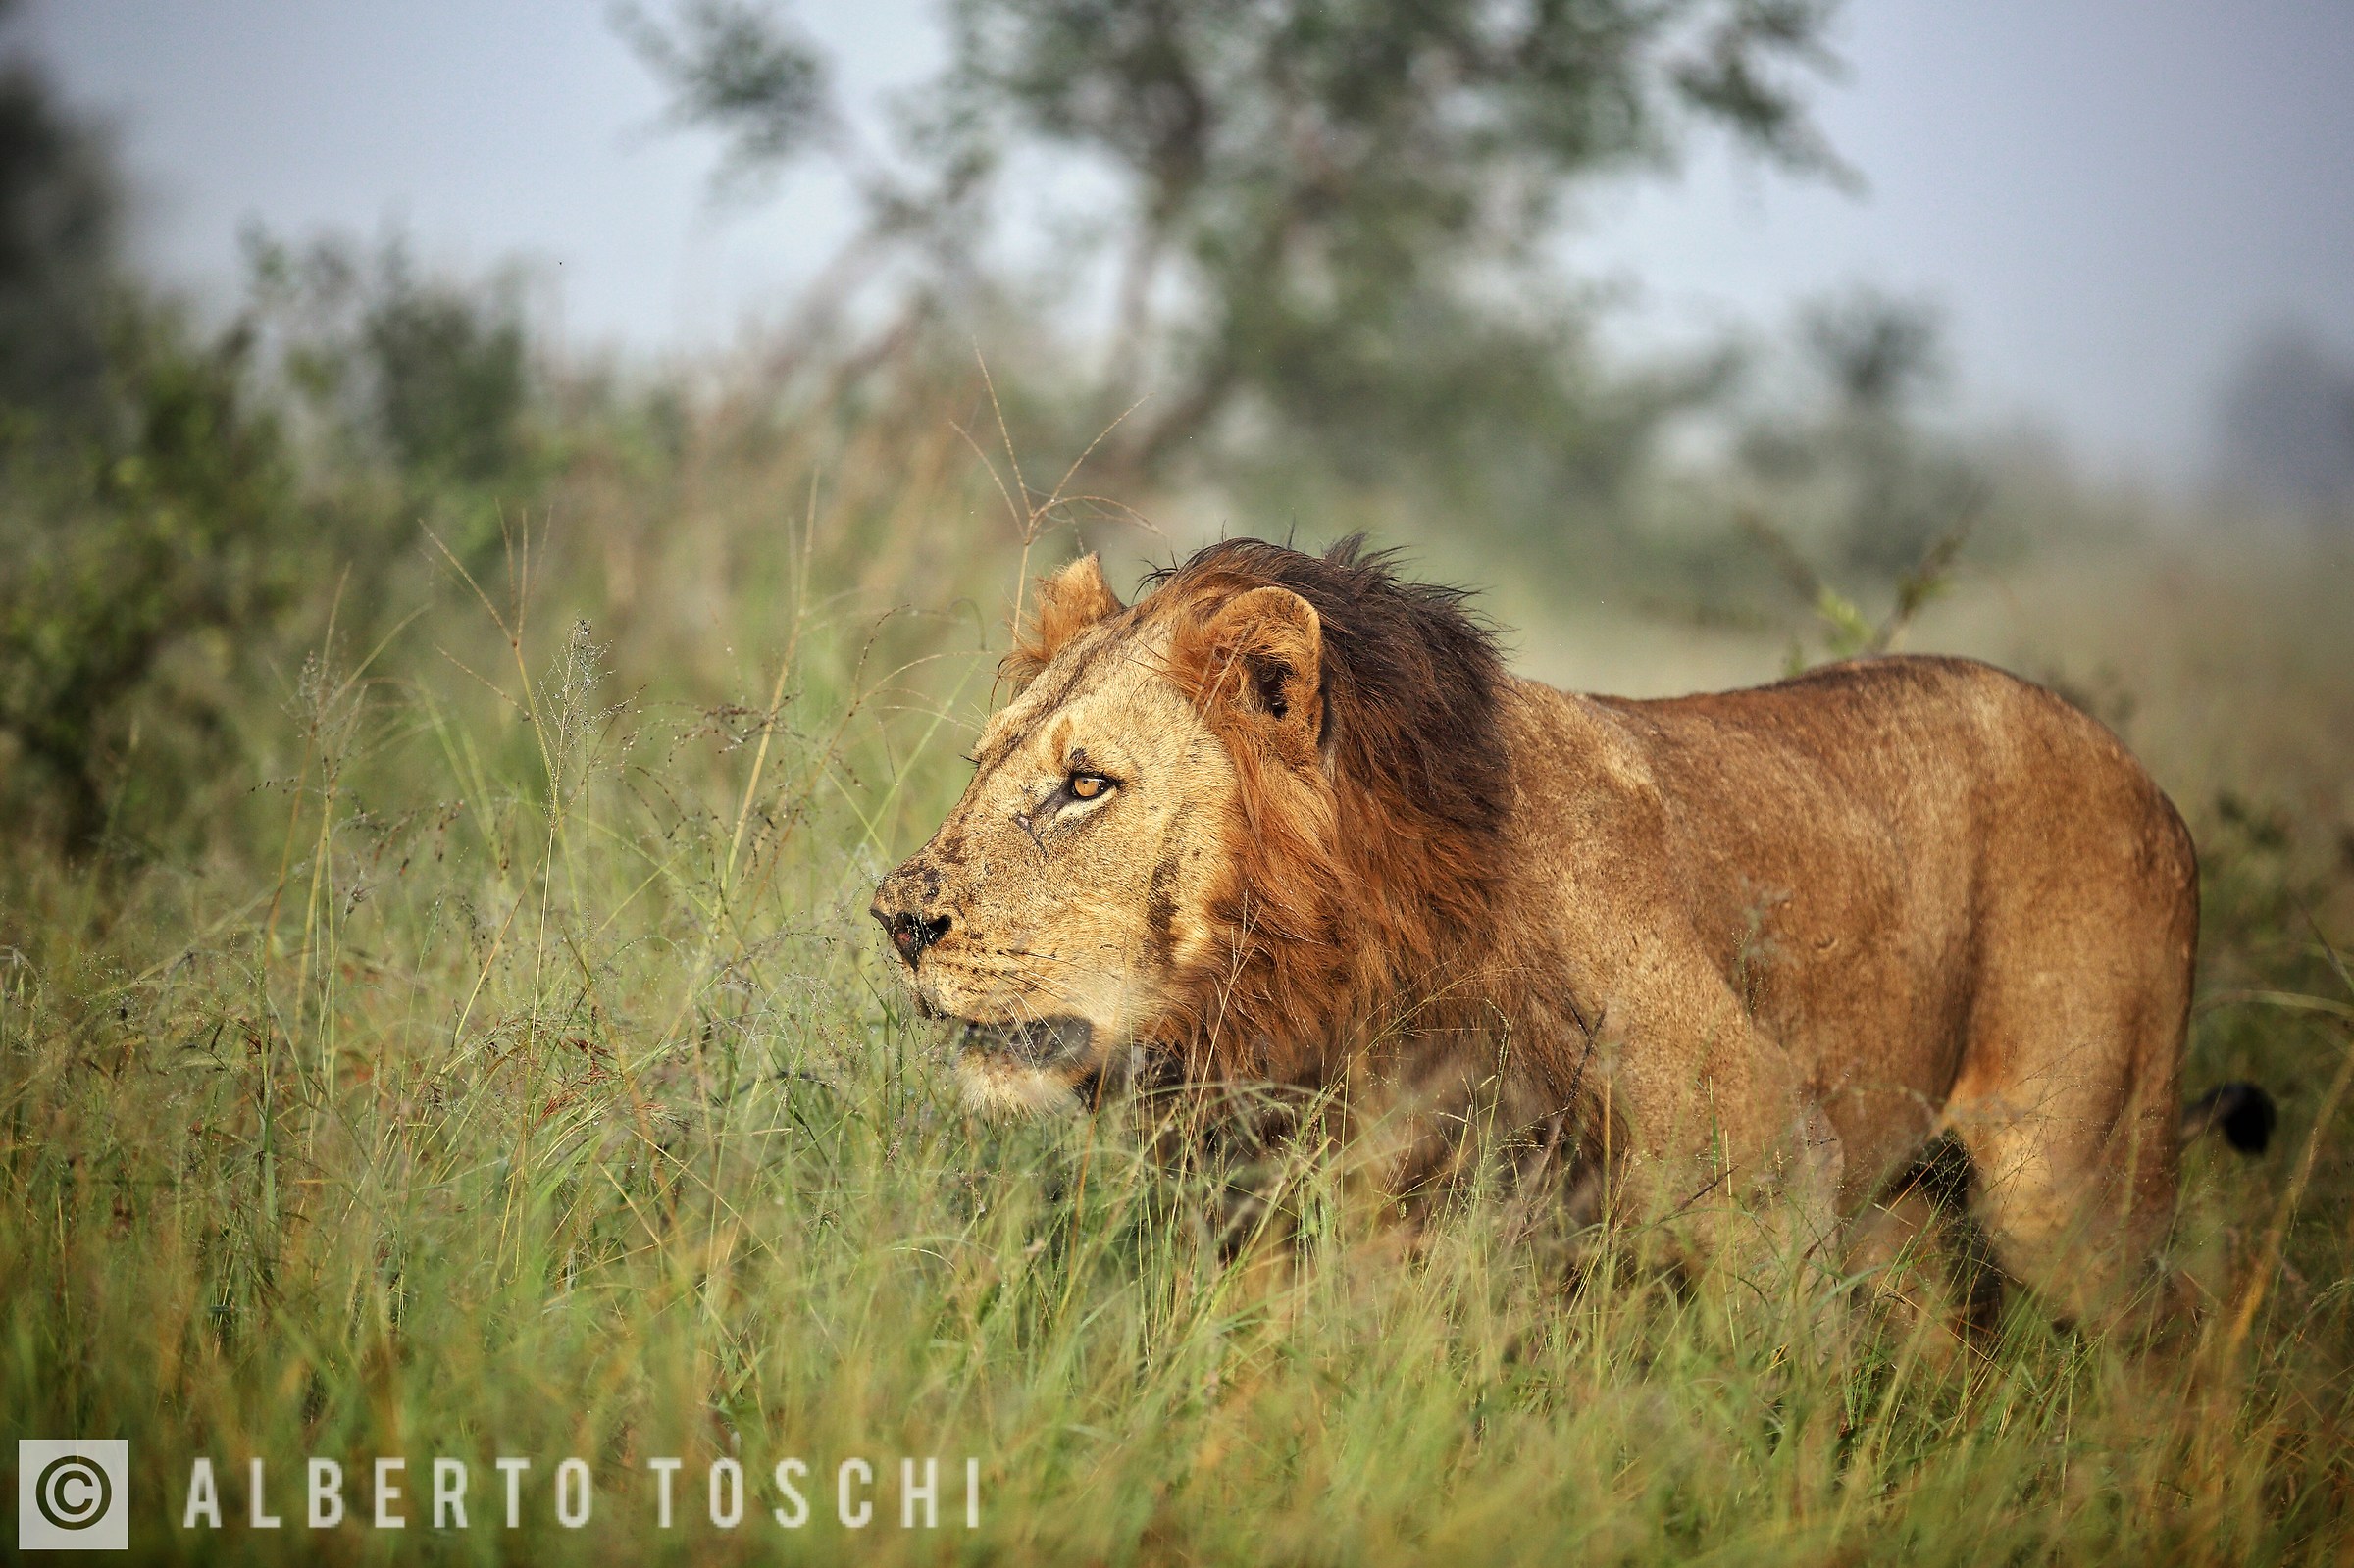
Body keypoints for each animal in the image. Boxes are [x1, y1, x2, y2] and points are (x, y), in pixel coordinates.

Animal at [871, 536, 2273, 1324]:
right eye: (987, 763)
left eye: (1085, 784)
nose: (896, 919)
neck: (1329, 983)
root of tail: (2142, 776)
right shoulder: (1300, 1205)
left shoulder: (1767, 1158)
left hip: (2065, 1187)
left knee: (2185, 1326)